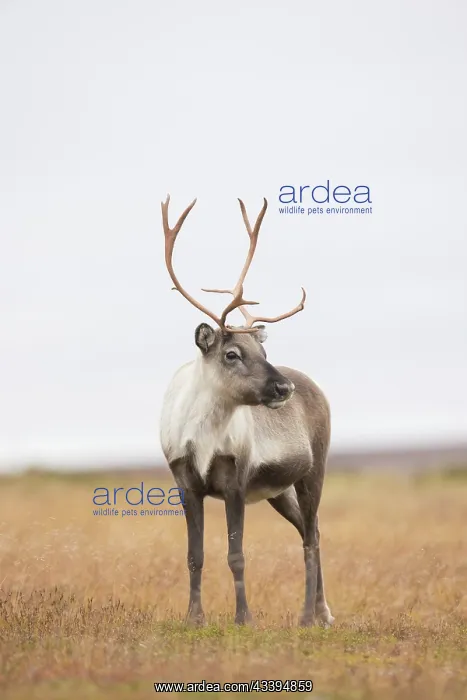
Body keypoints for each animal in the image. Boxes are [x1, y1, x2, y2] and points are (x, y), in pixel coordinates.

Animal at [159, 194, 334, 628]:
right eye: (232, 353)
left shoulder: (235, 480)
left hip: (314, 470)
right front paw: (194, 618)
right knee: (311, 530)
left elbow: (236, 556)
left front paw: (244, 618)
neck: (201, 436)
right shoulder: (186, 484)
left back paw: (310, 616)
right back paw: (320, 612)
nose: (283, 388)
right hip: (280, 490)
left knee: (311, 537)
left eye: (263, 351)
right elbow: (195, 556)